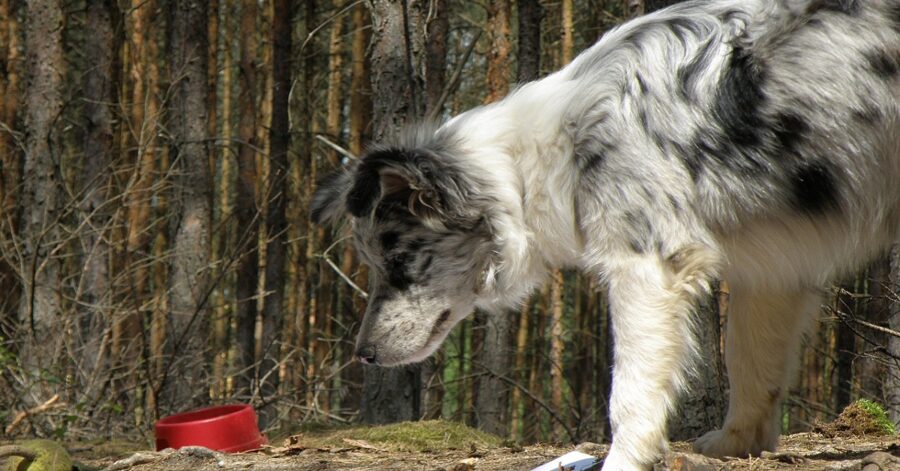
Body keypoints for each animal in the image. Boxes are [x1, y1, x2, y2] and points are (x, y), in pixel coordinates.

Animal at [312, 1, 900, 470]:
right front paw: (736, 444)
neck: (547, 152)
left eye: (398, 264)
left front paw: (623, 461)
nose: (362, 355)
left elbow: (630, 391)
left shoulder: (647, 265)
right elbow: (750, 361)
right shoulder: (774, 263)